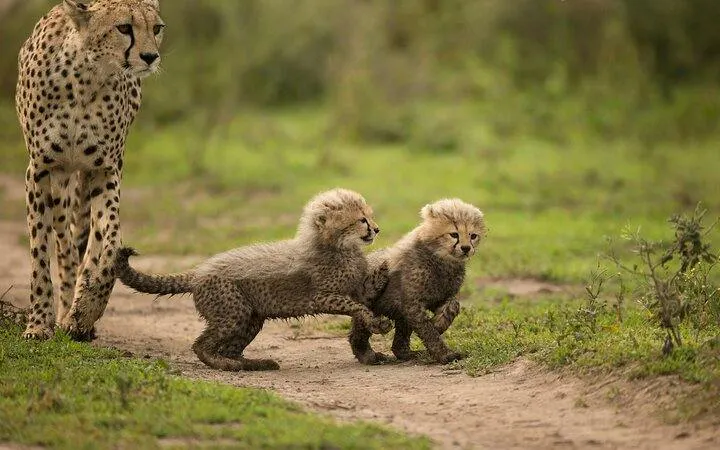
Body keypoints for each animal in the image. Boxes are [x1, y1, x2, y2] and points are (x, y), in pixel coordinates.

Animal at [15, 0, 165, 340]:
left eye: (157, 28)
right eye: (124, 27)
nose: (150, 56)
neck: (86, 78)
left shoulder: (106, 171)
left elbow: (109, 244)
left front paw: (86, 311)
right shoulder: (39, 170)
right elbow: (39, 251)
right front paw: (39, 323)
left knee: (87, 241)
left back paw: (77, 313)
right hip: (60, 182)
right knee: (65, 242)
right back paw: (63, 308)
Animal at [114, 188, 393, 371]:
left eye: (370, 217)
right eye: (361, 220)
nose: (377, 229)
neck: (338, 246)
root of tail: (198, 271)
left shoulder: (357, 288)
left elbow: (366, 292)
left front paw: (385, 267)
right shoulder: (322, 297)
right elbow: (355, 306)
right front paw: (377, 321)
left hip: (250, 318)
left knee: (231, 347)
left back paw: (254, 363)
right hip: (232, 312)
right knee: (201, 345)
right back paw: (225, 364)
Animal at [349, 198, 486, 365]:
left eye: (473, 236)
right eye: (454, 234)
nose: (466, 248)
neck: (442, 259)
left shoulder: (438, 297)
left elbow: (454, 304)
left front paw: (438, 324)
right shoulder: (412, 304)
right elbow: (428, 331)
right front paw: (445, 354)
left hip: (399, 314)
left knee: (398, 344)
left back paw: (410, 354)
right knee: (357, 333)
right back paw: (369, 356)